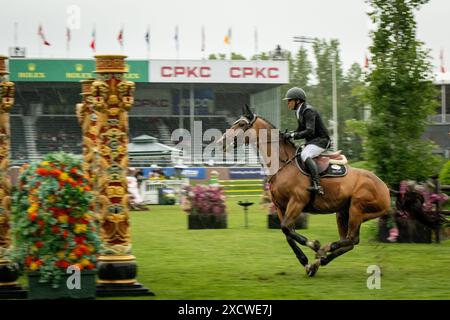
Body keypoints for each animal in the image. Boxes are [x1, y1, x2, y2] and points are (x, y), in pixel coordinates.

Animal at [220, 105, 392, 276]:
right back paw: (319, 262)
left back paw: (323, 250)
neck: (283, 164)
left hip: (357, 209)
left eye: (242, 124)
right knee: (350, 242)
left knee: (351, 239)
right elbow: (288, 233)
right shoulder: (280, 206)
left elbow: (286, 228)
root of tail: (385, 188)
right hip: (343, 212)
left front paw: (314, 245)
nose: (221, 142)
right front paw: (305, 262)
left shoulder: (297, 202)